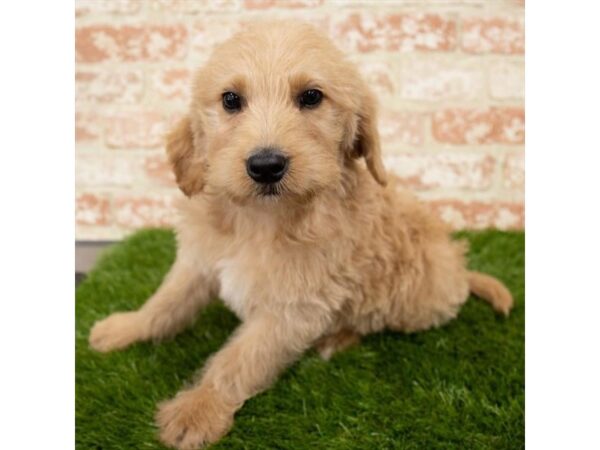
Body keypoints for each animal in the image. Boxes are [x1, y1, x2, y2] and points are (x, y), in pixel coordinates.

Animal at [88, 21, 510, 450]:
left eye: (311, 97)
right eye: (230, 100)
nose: (265, 165)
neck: (259, 219)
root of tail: (460, 271)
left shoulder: (293, 309)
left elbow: (237, 361)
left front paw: (198, 409)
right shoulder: (199, 262)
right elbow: (165, 302)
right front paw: (126, 327)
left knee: (371, 322)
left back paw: (334, 340)